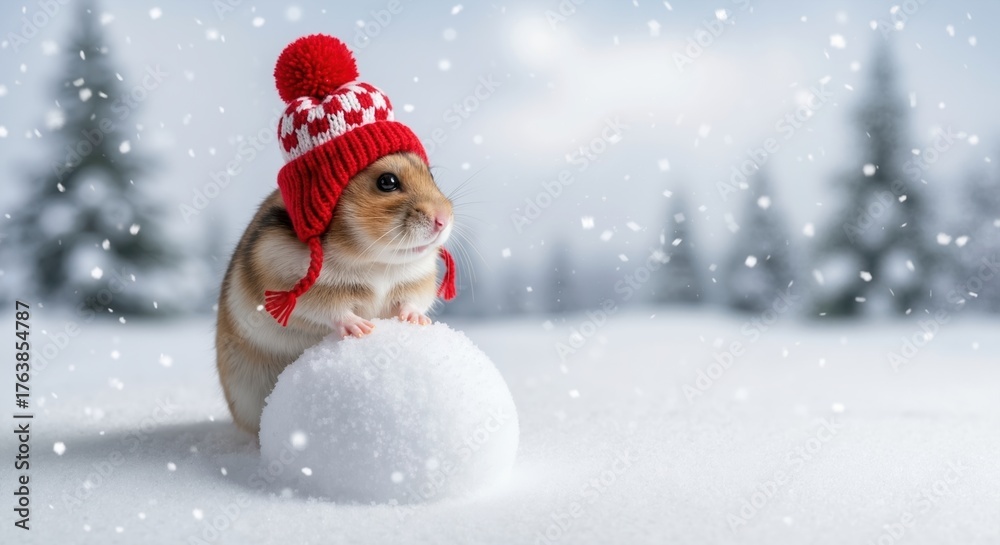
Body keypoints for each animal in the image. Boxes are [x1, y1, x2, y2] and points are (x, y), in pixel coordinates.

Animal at [215, 151, 454, 434]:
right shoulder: (292, 284)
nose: (444, 219)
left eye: (431, 175)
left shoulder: (418, 280)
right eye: (387, 182)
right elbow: (333, 310)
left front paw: (416, 320)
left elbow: (413, 301)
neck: (373, 260)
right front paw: (362, 329)